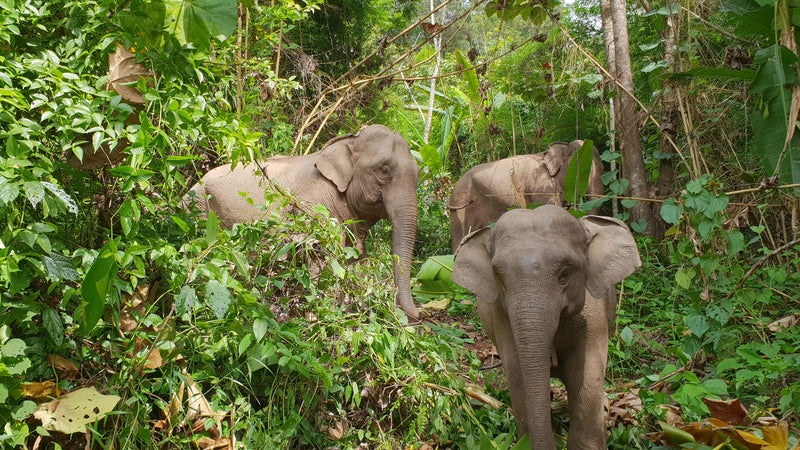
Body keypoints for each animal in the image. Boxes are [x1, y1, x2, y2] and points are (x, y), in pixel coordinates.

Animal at [180, 125, 418, 318]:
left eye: (417, 175)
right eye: (384, 170)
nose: (418, 314)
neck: (348, 141)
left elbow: (354, 258)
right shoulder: (316, 205)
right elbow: (320, 256)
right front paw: (315, 315)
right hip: (197, 208)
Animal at [450, 206, 644, 448]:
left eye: (564, 275)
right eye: (500, 279)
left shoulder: (594, 316)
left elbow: (587, 376)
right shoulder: (501, 317)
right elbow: (518, 374)